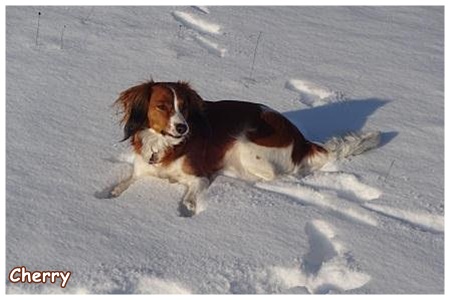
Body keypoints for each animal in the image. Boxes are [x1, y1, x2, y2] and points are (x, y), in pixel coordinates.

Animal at [111, 79, 380, 216]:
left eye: (184, 107)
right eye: (162, 106)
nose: (182, 128)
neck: (164, 144)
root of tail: (301, 141)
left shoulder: (199, 176)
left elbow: (189, 197)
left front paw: (187, 209)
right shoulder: (141, 170)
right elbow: (121, 186)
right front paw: (111, 195)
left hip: (245, 144)